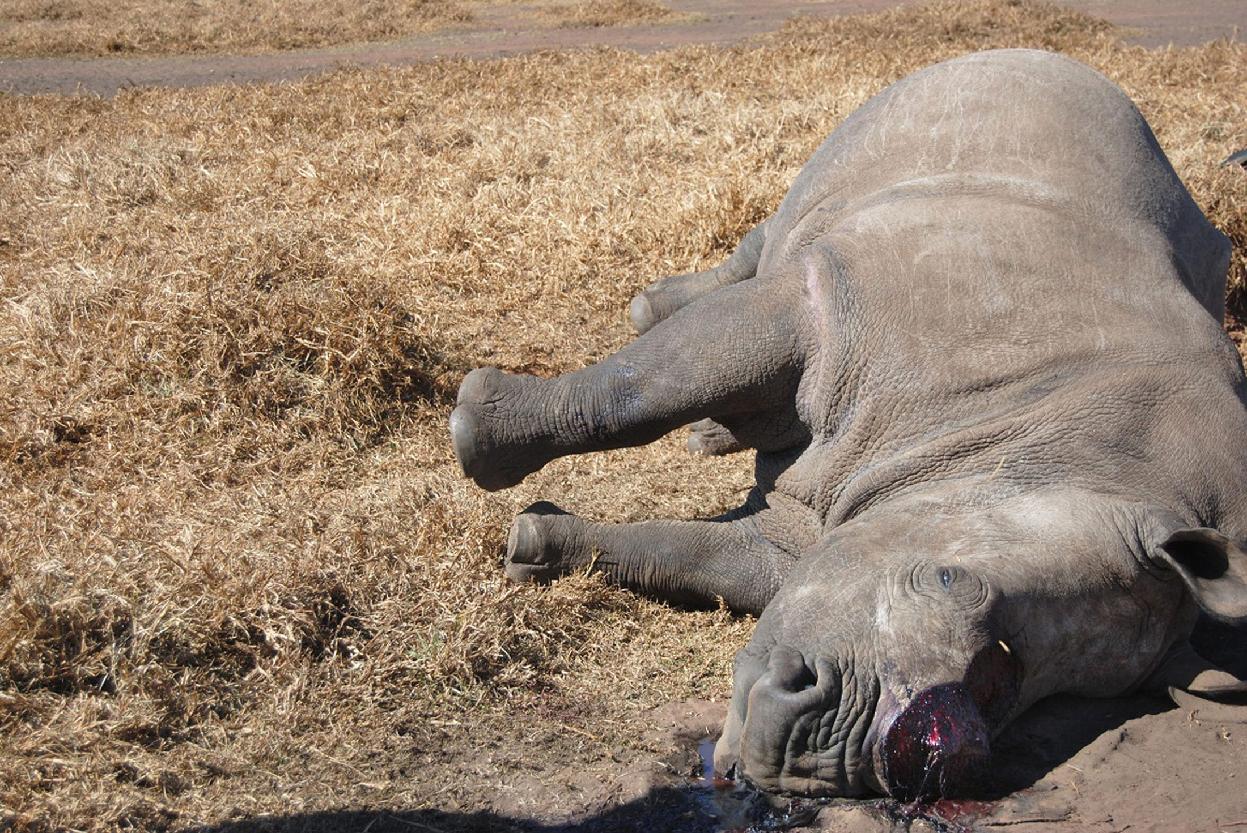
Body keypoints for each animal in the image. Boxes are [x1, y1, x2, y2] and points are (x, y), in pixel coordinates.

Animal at [448, 50, 1247, 798]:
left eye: (1012, 688)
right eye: (949, 578)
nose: (824, 747)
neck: (1063, 447)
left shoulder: (821, 524)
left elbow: (695, 554)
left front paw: (535, 544)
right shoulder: (840, 301)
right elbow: (643, 389)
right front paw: (475, 435)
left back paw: (712, 434)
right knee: (768, 243)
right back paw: (653, 320)